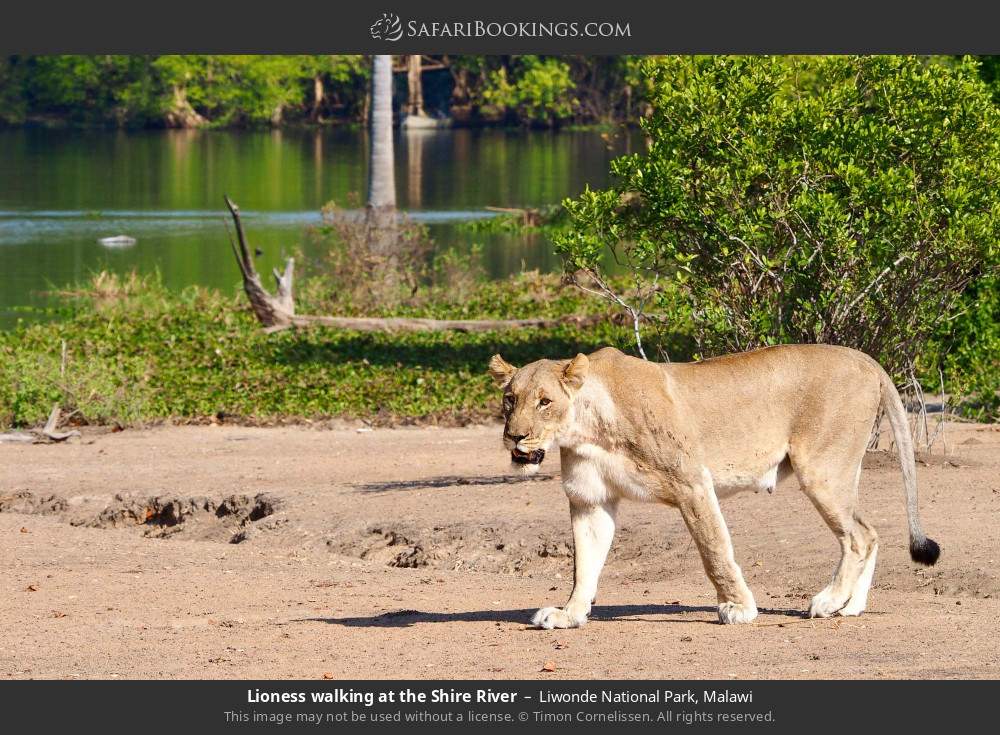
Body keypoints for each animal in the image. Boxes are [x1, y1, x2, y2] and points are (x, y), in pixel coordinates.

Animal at [487, 345, 940, 628]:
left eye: (545, 401)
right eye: (511, 399)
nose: (515, 437)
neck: (586, 429)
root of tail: (864, 358)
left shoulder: (692, 482)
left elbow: (714, 551)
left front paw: (739, 608)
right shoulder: (590, 499)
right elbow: (584, 564)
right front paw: (570, 614)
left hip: (821, 470)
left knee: (857, 537)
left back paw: (828, 601)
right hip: (840, 471)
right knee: (871, 532)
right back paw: (850, 608)